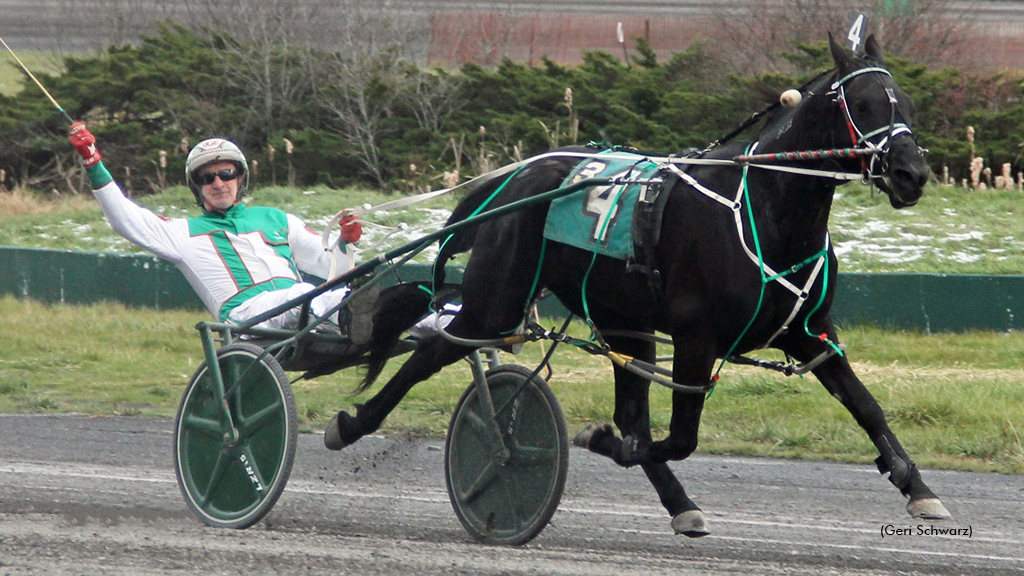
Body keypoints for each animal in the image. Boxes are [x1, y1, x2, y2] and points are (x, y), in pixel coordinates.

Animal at [329, 34, 950, 532]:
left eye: (908, 104)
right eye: (863, 104)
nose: (912, 174)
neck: (765, 209)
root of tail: (516, 178)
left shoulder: (810, 333)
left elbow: (866, 406)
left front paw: (916, 486)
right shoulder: (697, 336)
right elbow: (679, 438)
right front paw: (596, 438)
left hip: (623, 321)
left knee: (626, 407)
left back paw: (681, 505)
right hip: (497, 299)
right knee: (431, 350)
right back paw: (353, 424)